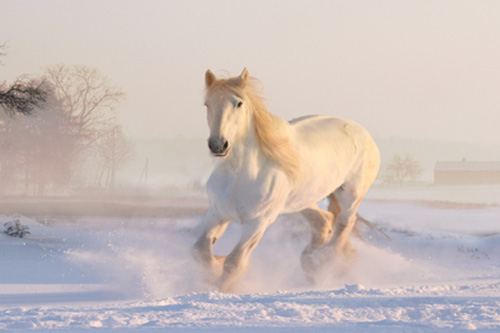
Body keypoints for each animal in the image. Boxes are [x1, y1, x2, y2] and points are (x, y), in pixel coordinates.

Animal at [191, 67, 378, 290]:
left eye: (238, 103)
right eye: (207, 104)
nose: (218, 145)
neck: (239, 175)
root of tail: (362, 132)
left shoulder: (258, 222)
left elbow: (234, 261)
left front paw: (220, 287)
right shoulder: (217, 213)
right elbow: (200, 251)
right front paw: (212, 272)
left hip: (351, 194)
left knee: (343, 224)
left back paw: (328, 262)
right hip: (302, 200)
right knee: (323, 222)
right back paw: (311, 264)